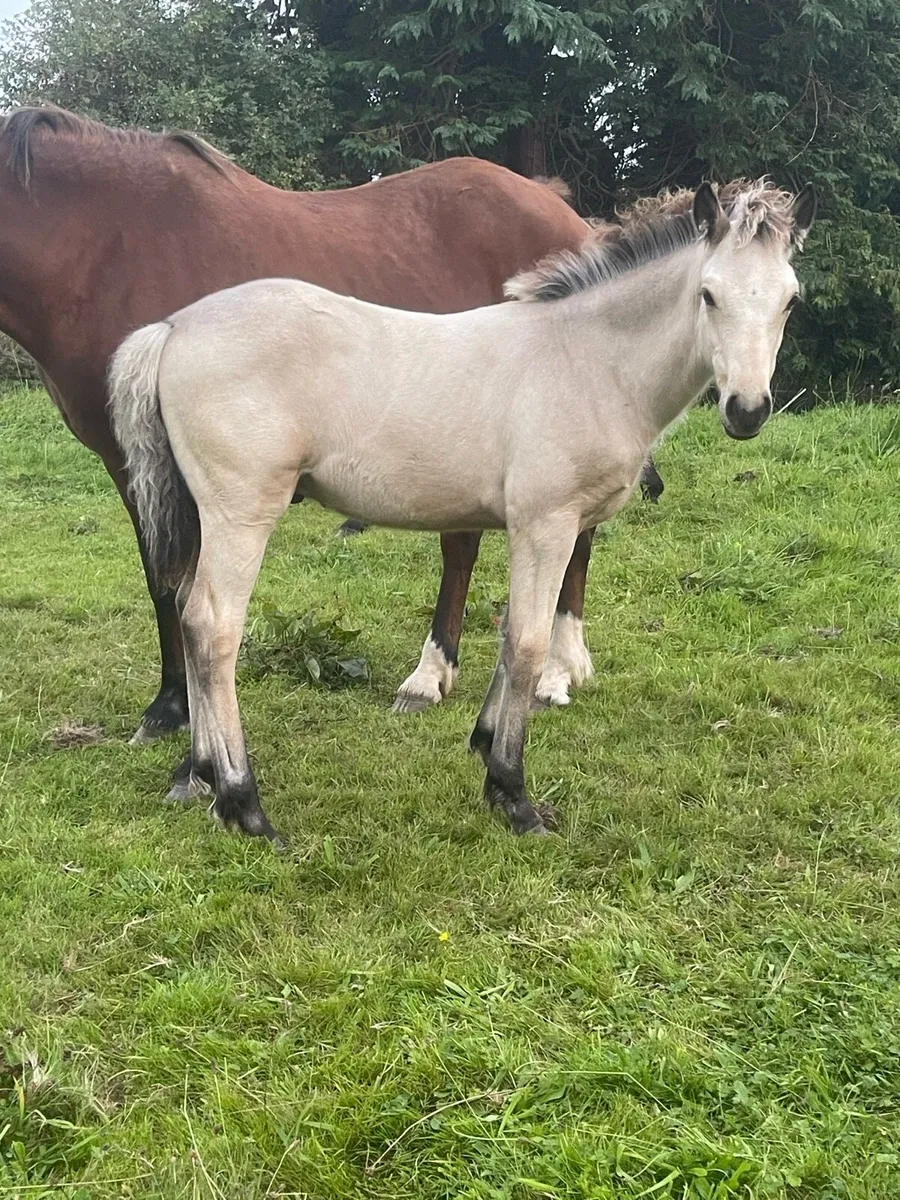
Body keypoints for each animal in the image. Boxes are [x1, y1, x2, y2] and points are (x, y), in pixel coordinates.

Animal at [0, 106, 619, 742]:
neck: (108, 250)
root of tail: (562, 212)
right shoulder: (134, 470)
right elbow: (164, 582)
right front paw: (174, 705)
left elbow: (180, 587)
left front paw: (181, 711)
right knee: (467, 545)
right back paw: (434, 674)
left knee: (570, 542)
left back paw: (555, 671)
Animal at [108, 178, 815, 844]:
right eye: (709, 295)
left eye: (790, 300)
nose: (747, 410)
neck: (586, 360)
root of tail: (172, 329)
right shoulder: (545, 523)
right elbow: (528, 642)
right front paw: (512, 793)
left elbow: (508, 635)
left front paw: (482, 745)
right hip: (241, 510)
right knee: (213, 627)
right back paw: (243, 803)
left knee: (187, 612)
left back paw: (200, 775)